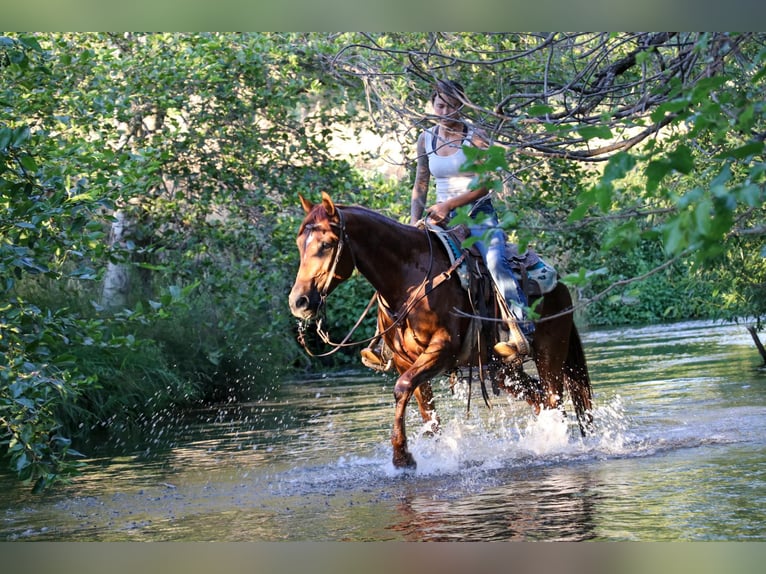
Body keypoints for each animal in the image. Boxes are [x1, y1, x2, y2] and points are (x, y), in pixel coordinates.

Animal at [288, 194, 592, 472]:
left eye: (326, 244)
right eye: (299, 245)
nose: (298, 302)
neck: (409, 279)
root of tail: (559, 282)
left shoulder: (442, 349)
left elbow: (402, 388)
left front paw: (402, 457)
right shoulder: (406, 361)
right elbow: (425, 410)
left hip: (550, 352)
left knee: (553, 399)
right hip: (503, 370)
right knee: (539, 399)